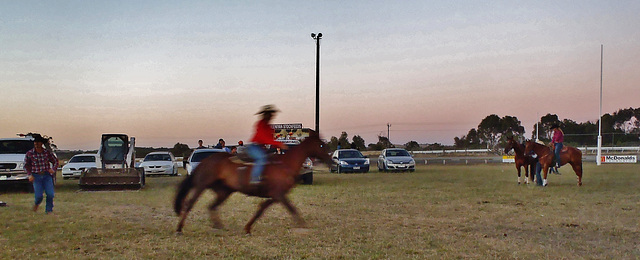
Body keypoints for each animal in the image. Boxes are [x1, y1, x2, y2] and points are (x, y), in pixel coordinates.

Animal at [175, 130, 336, 234]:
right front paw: (303, 225)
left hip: (224, 191)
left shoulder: (276, 195)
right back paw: (179, 228)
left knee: (212, 206)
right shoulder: (279, 194)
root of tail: (206, 161)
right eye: (321, 145)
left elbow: (261, 208)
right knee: (190, 204)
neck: (285, 164)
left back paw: (219, 226)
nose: (332, 161)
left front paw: (247, 228)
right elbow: (291, 208)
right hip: (202, 186)